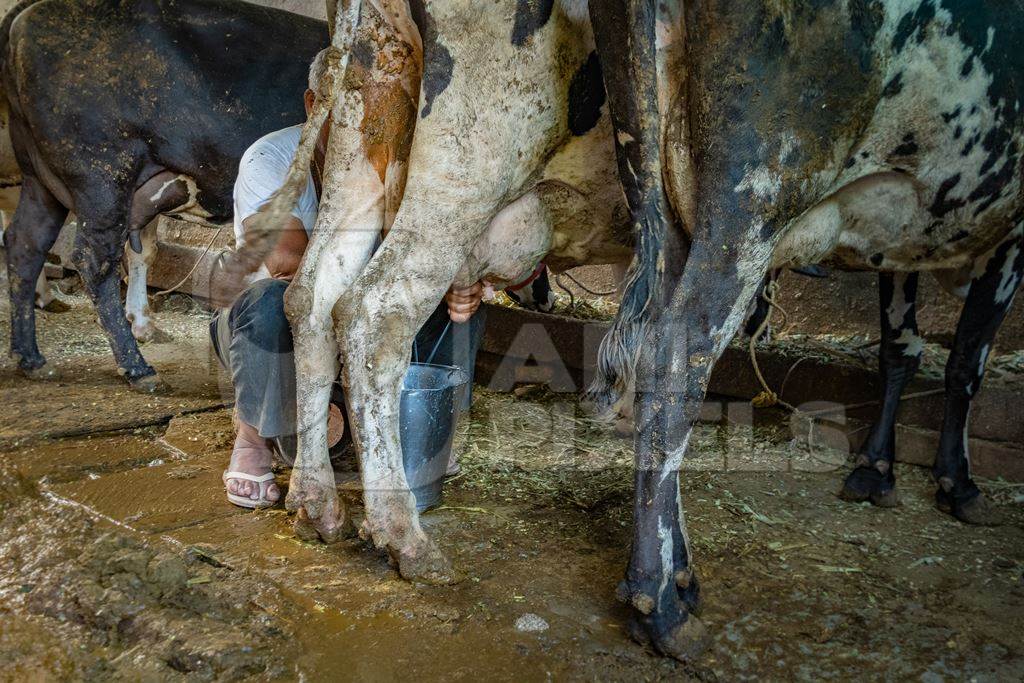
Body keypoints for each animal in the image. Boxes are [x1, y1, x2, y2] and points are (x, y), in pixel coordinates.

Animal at [1, 0, 327, 389]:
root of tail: (29, 12)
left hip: (39, 176)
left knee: (25, 243)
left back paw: (31, 357)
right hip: (101, 173)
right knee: (94, 261)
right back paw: (137, 367)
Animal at [581, 0, 1019, 663]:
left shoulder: (898, 246)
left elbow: (901, 348)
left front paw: (876, 468)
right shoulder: (1013, 233)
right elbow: (966, 362)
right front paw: (959, 484)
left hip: (658, 188)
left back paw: (682, 578)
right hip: (755, 193)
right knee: (674, 362)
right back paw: (658, 605)